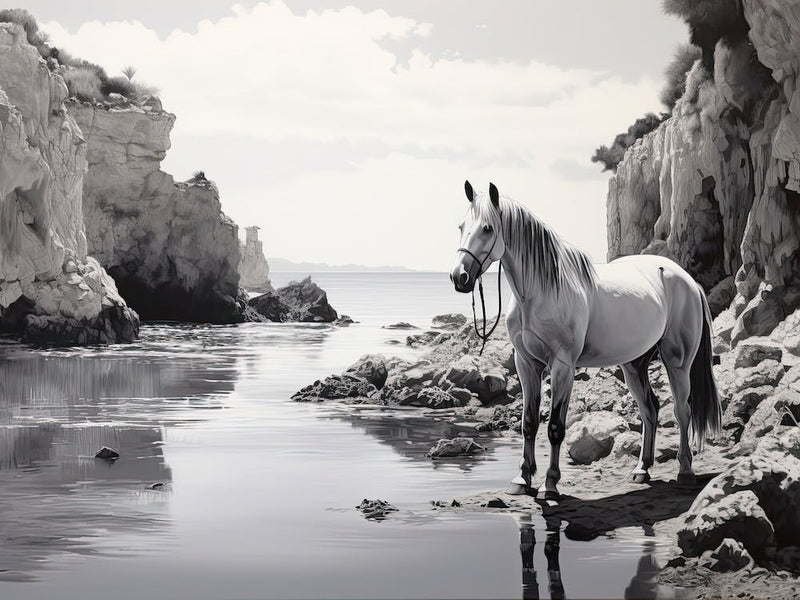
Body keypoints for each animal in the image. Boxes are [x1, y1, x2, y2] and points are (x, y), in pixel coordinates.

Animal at [450, 181, 721, 498]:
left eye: (487, 228)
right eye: (461, 226)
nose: (459, 277)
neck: (541, 291)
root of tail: (687, 280)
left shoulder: (562, 366)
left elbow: (555, 427)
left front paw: (550, 484)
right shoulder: (526, 364)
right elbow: (529, 423)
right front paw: (522, 479)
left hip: (677, 361)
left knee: (682, 411)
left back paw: (685, 472)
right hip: (634, 364)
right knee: (650, 409)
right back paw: (642, 470)